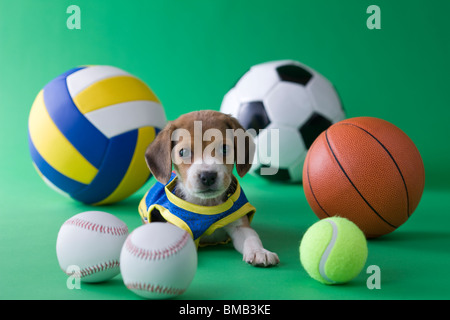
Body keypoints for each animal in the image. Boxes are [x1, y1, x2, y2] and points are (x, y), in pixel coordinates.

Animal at [138, 110, 278, 268]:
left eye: (224, 148)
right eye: (183, 152)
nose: (208, 176)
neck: (207, 205)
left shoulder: (240, 226)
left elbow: (252, 238)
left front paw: (259, 251)